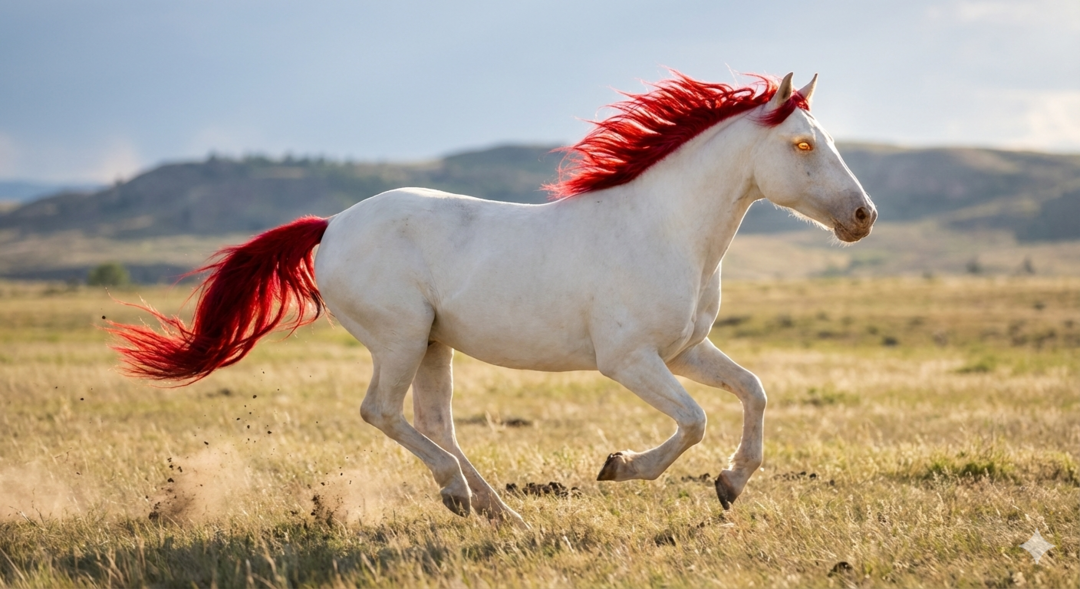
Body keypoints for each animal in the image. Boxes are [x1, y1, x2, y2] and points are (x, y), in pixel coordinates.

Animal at [110, 71, 876, 526]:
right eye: (802, 144)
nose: (863, 216)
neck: (664, 229)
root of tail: (331, 225)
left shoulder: (685, 349)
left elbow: (753, 391)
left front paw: (731, 484)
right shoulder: (628, 359)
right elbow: (693, 421)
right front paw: (622, 468)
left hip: (432, 343)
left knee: (433, 420)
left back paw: (499, 511)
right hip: (400, 336)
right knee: (383, 412)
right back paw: (458, 494)